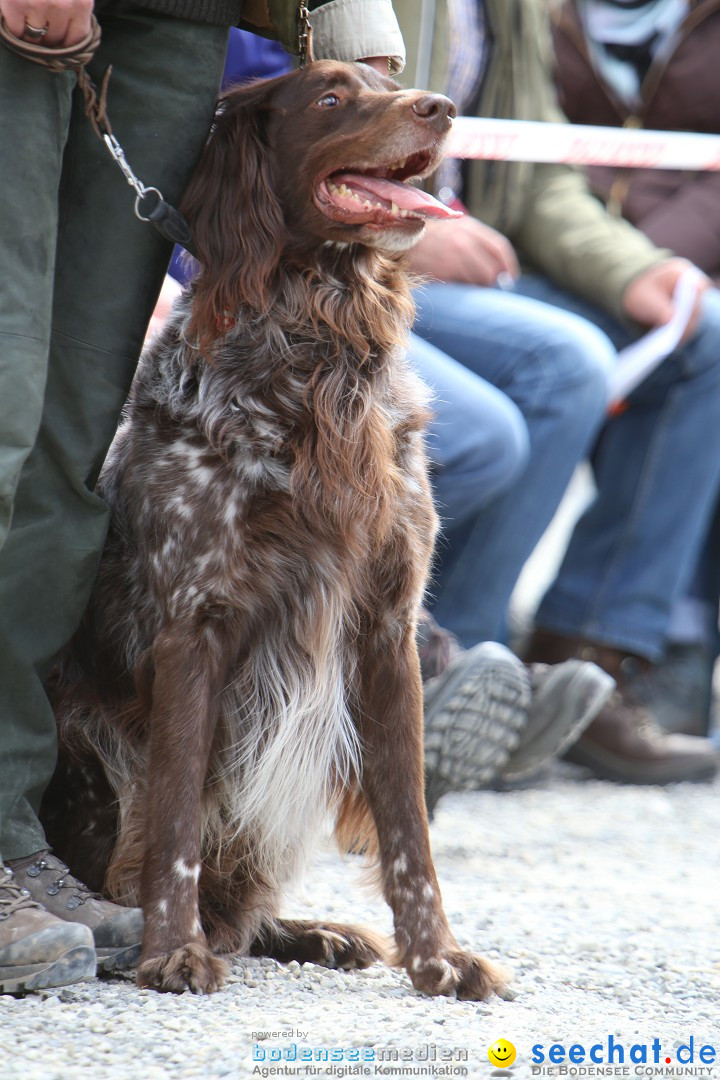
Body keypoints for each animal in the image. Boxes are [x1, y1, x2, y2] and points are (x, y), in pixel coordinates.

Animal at [43, 59, 507, 997]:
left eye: (387, 79)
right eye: (329, 98)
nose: (441, 107)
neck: (320, 353)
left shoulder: (387, 629)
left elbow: (410, 830)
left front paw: (435, 959)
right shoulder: (195, 626)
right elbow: (176, 819)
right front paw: (171, 950)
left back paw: (315, 933)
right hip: (93, 743)